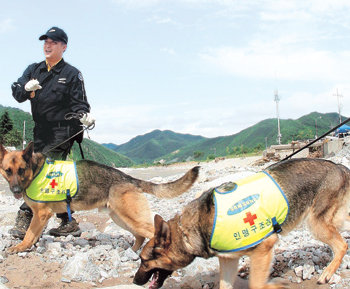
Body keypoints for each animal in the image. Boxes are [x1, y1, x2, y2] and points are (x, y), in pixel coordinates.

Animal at [0, 142, 198, 252]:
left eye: (21, 170)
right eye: (8, 171)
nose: (16, 189)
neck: (35, 171)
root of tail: (129, 178)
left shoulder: (41, 215)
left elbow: (29, 235)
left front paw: (20, 247)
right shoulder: (39, 217)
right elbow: (33, 235)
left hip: (132, 218)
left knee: (153, 235)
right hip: (121, 219)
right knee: (140, 237)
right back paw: (133, 252)